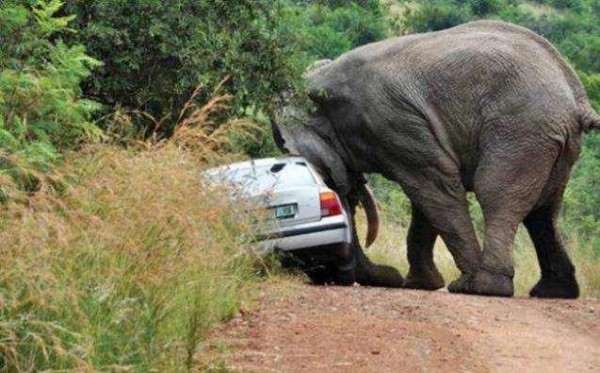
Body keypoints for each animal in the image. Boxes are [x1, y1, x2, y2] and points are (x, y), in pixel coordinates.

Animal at [272, 20, 600, 298]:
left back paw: (480, 287)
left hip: (521, 129)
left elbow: (434, 186)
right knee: (544, 211)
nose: (385, 276)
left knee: (495, 192)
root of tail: (576, 99)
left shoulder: (392, 118)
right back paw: (553, 292)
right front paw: (421, 284)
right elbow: (426, 197)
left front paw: (449, 283)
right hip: (550, 140)